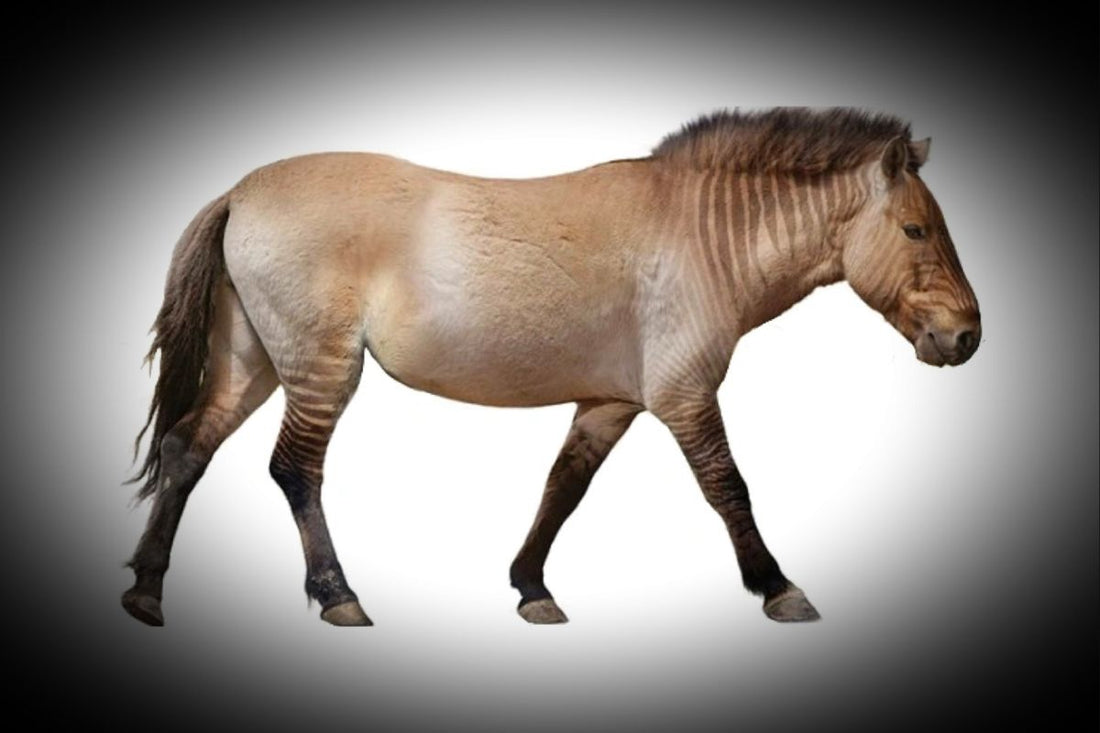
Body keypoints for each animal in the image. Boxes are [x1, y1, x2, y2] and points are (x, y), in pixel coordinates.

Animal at [122, 107, 981, 627]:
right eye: (915, 228)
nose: (967, 336)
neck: (701, 234)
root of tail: (239, 192)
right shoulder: (684, 395)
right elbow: (727, 487)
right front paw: (778, 585)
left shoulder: (610, 402)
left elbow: (563, 488)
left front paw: (531, 587)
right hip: (319, 370)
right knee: (295, 470)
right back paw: (339, 597)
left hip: (255, 364)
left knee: (187, 449)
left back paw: (146, 589)